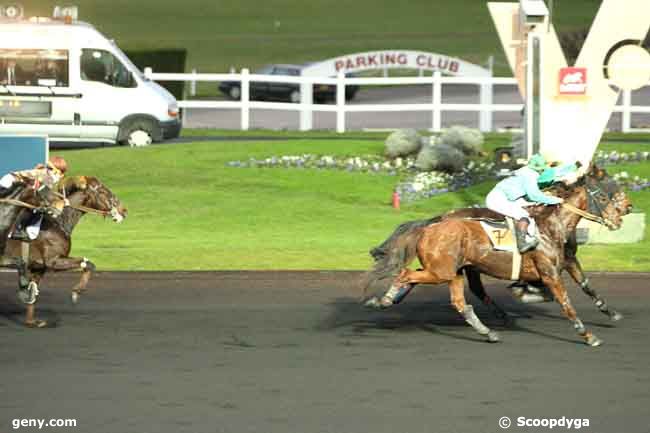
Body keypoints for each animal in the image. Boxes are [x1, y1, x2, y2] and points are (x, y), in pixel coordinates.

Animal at [4, 174, 126, 326]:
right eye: (103, 191)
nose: (123, 210)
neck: (57, 222)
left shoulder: (39, 267)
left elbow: (33, 291)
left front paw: (31, 321)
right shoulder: (53, 261)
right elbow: (89, 264)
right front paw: (76, 291)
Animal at [362, 167, 624, 346]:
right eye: (604, 196)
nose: (620, 218)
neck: (551, 227)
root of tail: (431, 225)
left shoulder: (560, 265)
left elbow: (579, 287)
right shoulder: (550, 273)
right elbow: (566, 304)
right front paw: (588, 335)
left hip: (452, 271)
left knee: (458, 300)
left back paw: (488, 331)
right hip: (443, 271)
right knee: (407, 274)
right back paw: (385, 299)